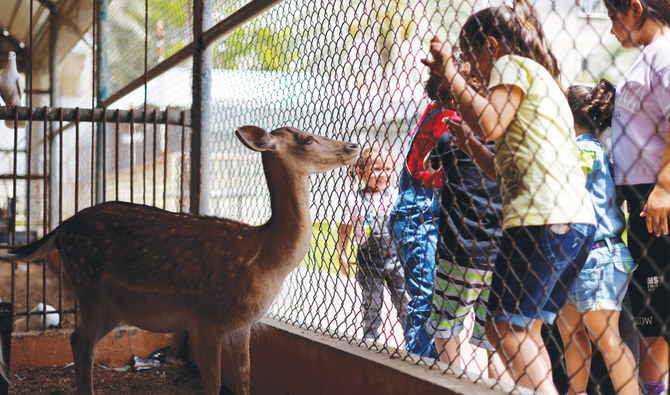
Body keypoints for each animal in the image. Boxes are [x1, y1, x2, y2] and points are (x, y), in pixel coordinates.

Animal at [0, 125, 362, 394]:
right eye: (308, 138)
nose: (354, 145)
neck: (266, 257)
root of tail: (61, 228)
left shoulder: (242, 325)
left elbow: (245, 379)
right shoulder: (207, 318)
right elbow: (213, 384)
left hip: (112, 306)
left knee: (79, 340)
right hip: (91, 290)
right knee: (80, 341)